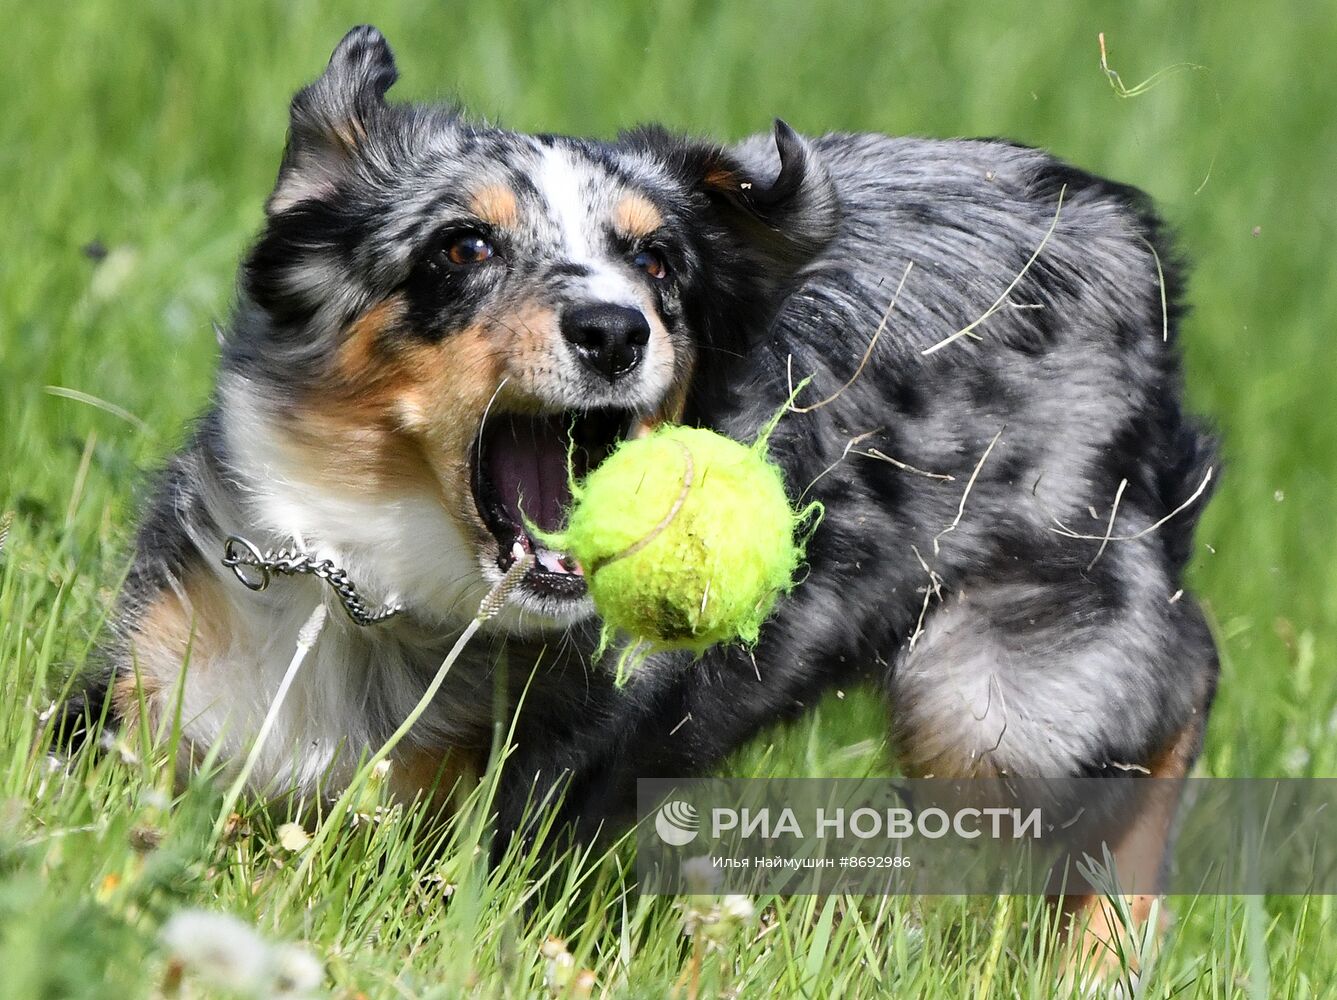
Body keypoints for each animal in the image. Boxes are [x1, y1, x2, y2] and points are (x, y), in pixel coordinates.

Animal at [75, 23, 1224, 957]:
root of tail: (1119, 224)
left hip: (999, 700)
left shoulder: (483, 808)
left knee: (1172, 690)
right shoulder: (152, 677)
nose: (613, 328)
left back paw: (1111, 945)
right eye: (462, 245)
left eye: (658, 260)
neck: (370, 591)